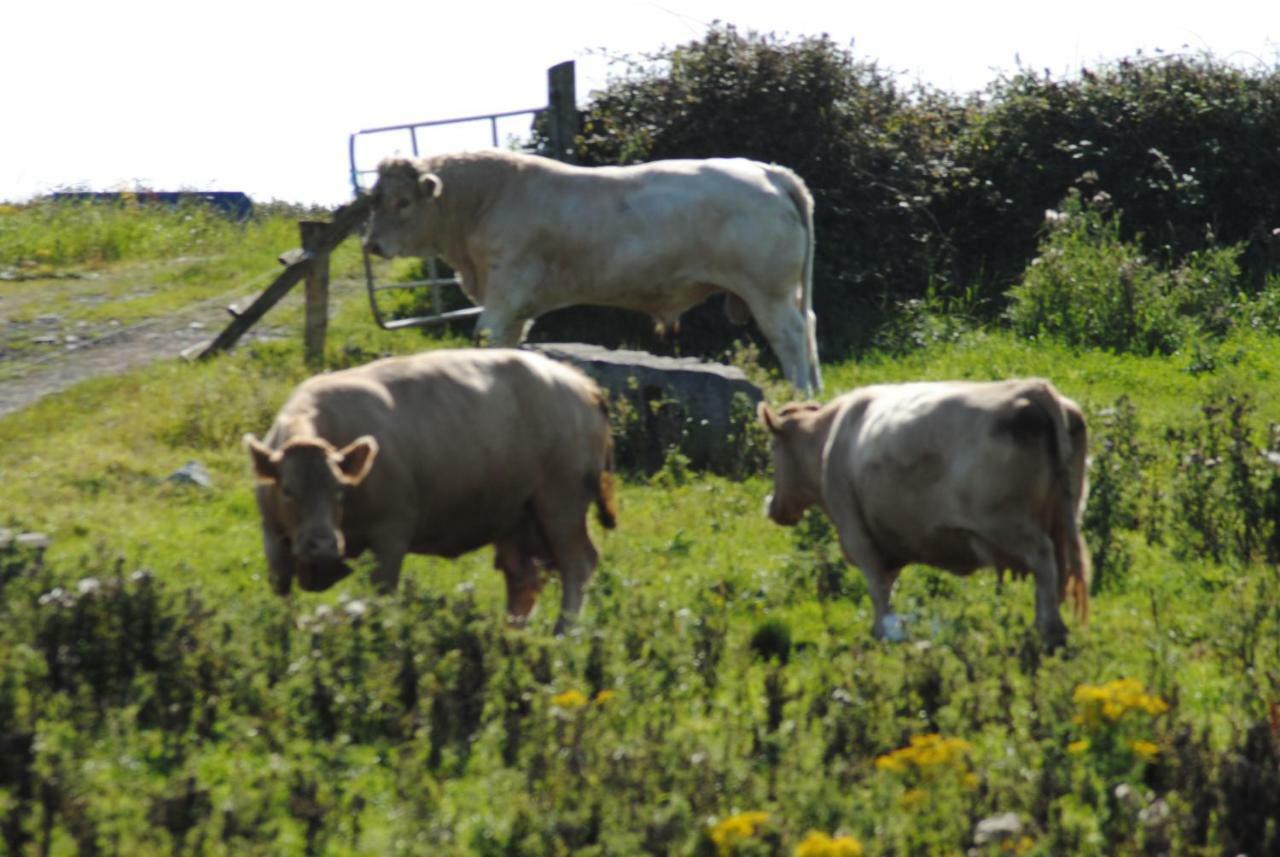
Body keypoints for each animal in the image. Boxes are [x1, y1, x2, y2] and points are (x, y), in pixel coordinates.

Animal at [363, 152, 819, 393]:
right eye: (375, 199)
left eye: (403, 202)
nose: (371, 244)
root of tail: (767, 171)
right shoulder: (514, 311)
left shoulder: (503, 297)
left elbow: (487, 340)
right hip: (788, 293)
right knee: (809, 329)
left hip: (769, 292)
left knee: (789, 337)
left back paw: (799, 394)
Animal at [757, 378, 1090, 647]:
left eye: (772, 449)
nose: (771, 506)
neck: (829, 438)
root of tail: (1031, 388)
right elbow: (888, 583)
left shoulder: (856, 534)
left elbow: (878, 587)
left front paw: (882, 632)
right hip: (1062, 518)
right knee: (1058, 568)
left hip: (1009, 524)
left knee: (1043, 561)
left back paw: (1048, 630)